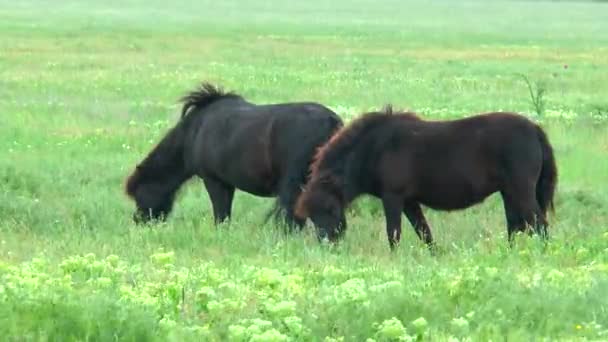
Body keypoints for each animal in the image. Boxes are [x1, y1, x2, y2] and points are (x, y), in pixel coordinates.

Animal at [296, 107, 560, 251]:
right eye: (312, 217)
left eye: (330, 210)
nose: (329, 245)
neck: (375, 148)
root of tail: (534, 128)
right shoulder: (409, 202)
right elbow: (424, 233)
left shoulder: (393, 198)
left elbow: (394, 235)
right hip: (509, 193)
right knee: (517, 227)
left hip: (520, 191)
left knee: (539, 225)